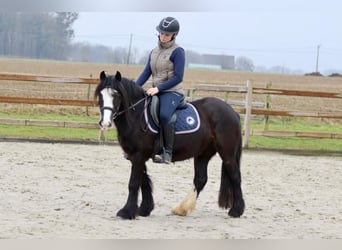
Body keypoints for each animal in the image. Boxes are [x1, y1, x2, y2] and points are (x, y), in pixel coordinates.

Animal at [94, 70, 243, 219]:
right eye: (101, 95)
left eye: (116, 95)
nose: (105, 123)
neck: (137, 116)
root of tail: (232, 111)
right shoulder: (134, 156)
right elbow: (143, 181)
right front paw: (144, 209)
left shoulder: (139, 155)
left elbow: (134, 183)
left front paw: (126, 212)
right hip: (203, 153)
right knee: (200, 179)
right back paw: (182, 208)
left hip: (227, 154)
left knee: (235, 177)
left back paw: (236, 210)